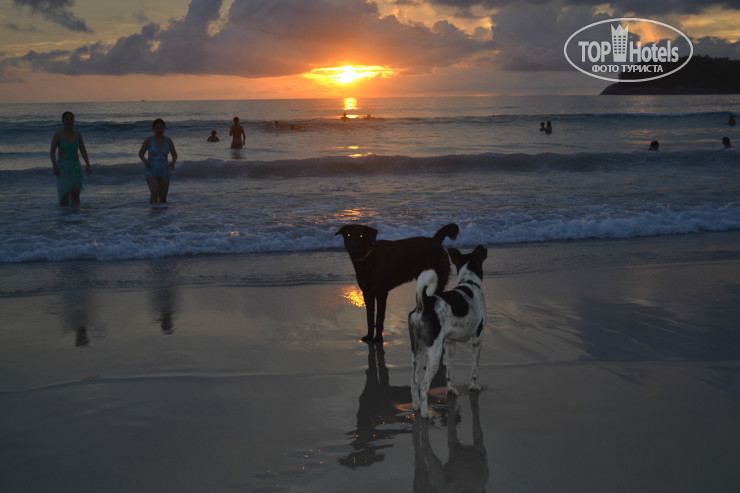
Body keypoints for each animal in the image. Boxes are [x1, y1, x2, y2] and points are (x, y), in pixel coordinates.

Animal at [408, 245, 487, 419]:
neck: (469, 282)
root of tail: (423, 304)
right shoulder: (477, 339)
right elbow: (475, 368)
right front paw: (474, 386)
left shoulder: (450, 343)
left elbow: (450, 372)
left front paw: (451, 391)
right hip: (434, 352)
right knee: (423, 386)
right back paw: (426, 414)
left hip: (417, 350)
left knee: (414, 382)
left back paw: (416, 407)